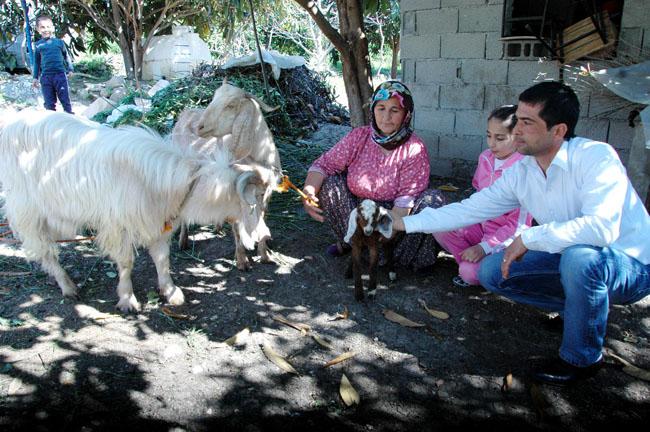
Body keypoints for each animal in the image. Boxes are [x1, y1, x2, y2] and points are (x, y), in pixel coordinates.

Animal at [0, 109, 274, 312]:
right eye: (255, 200)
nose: (265, 236)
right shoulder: (118, 226)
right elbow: (126, 262)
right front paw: (128, 299)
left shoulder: (158, 222)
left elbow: (162, 258)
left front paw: (170, 292)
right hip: (27, 209)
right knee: (45, 249)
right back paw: (67, 286)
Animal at [171, 82, 280, 270]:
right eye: (214, 98)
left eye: (230, 105)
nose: (199, 127)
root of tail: (185, 113)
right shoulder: (236, 195)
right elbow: (237, 228)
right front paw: (242, 261)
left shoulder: (264, 195)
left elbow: (260, 218)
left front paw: (264, 255)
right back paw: (183, 240)